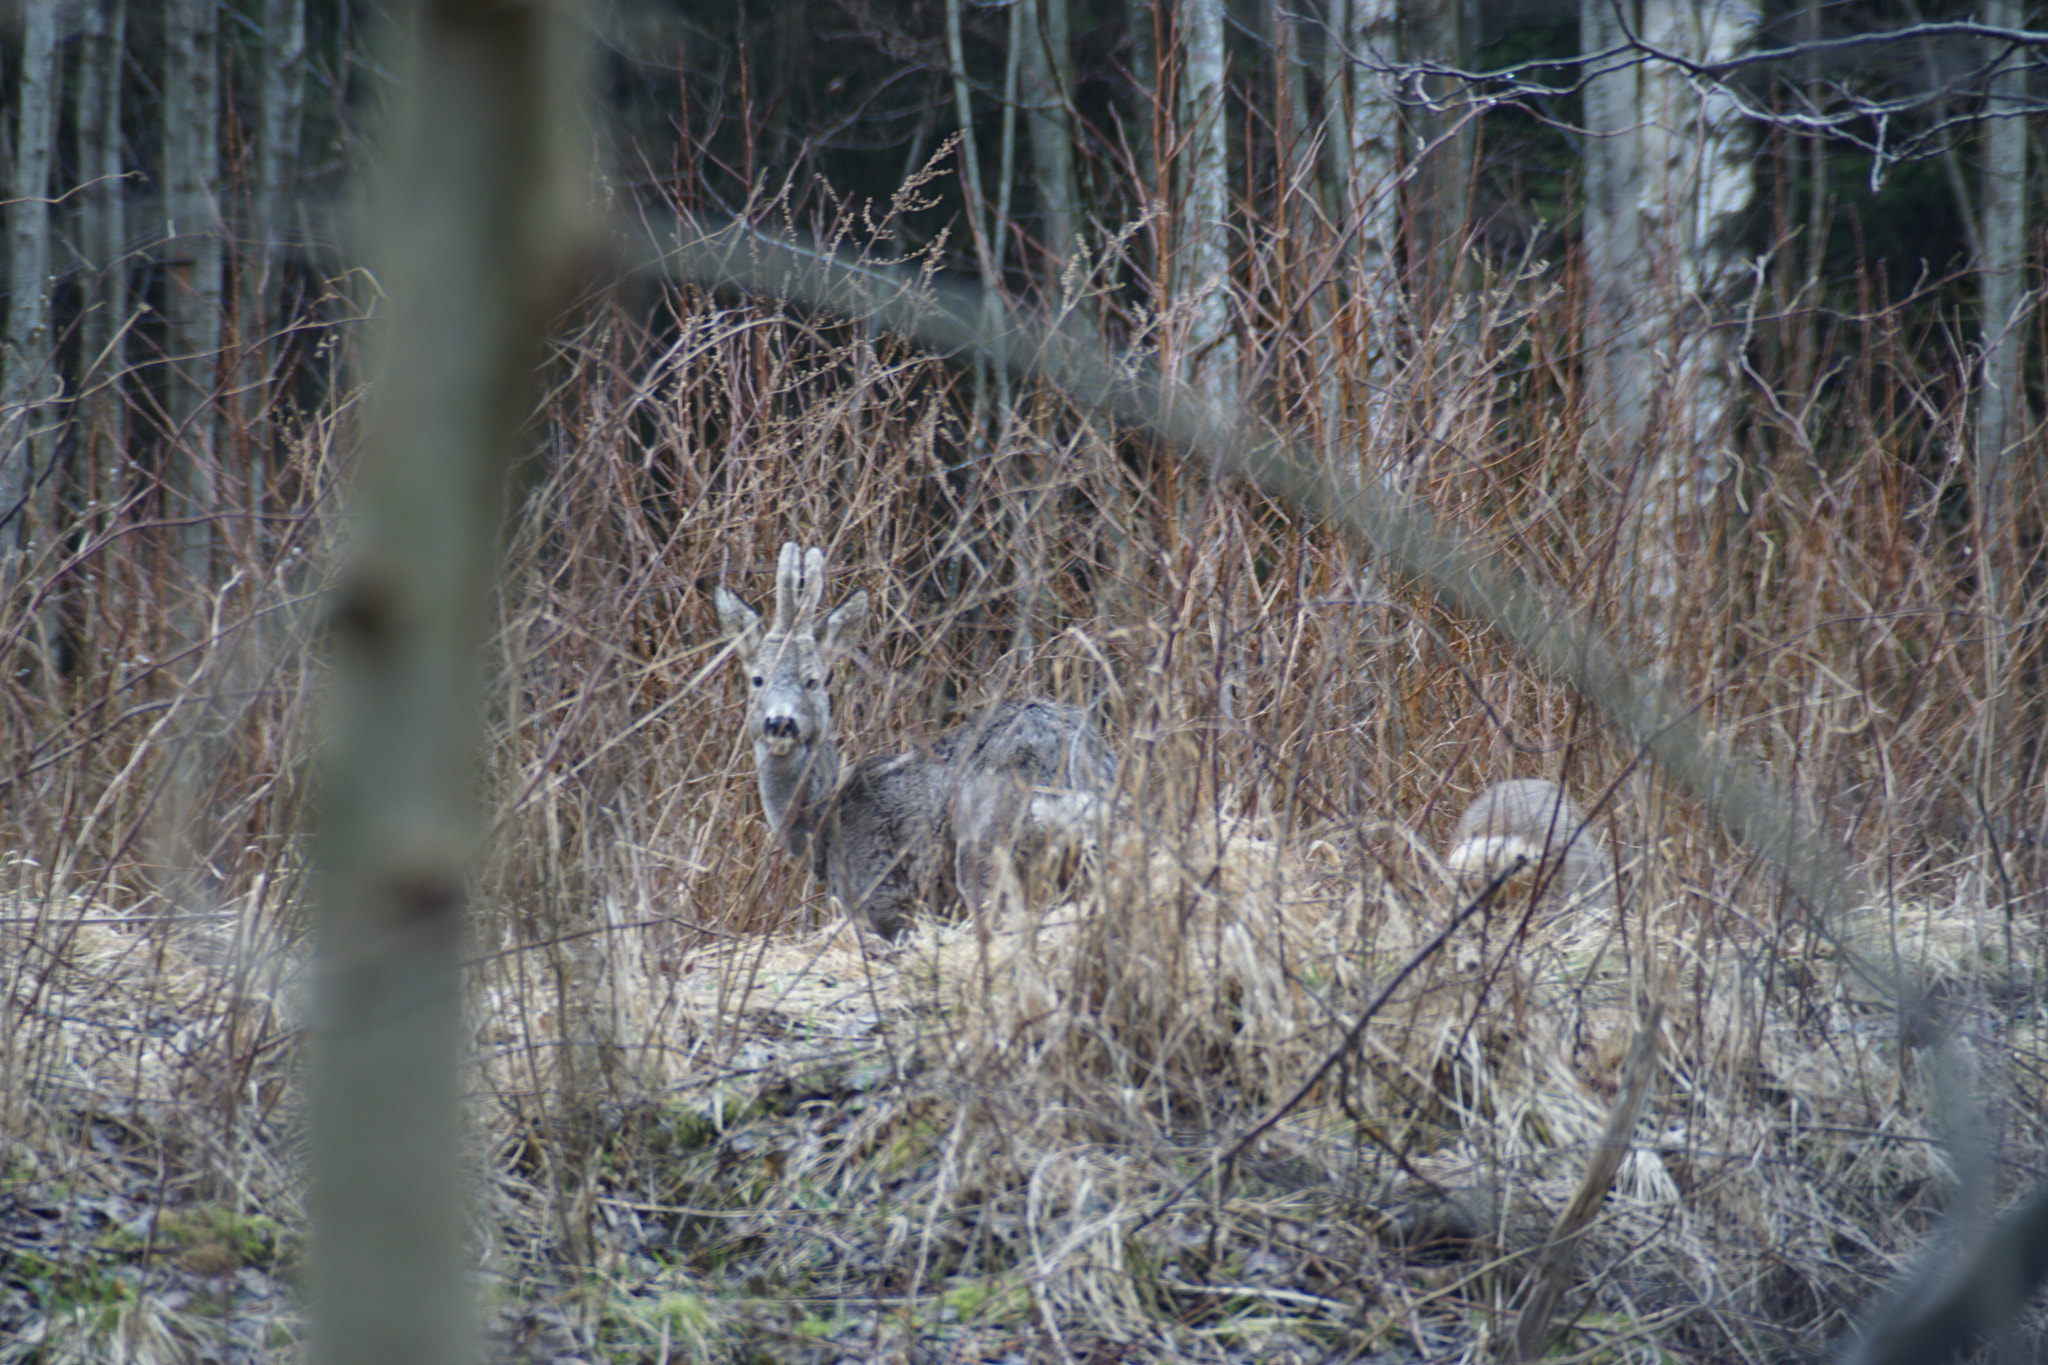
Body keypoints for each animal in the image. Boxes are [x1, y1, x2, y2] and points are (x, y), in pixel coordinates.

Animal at [712, 544, 1114, 941]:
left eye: (813, 680)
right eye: (757, 679)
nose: (780, 722)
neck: (824, 820)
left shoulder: (881, 894)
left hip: (987, 844)